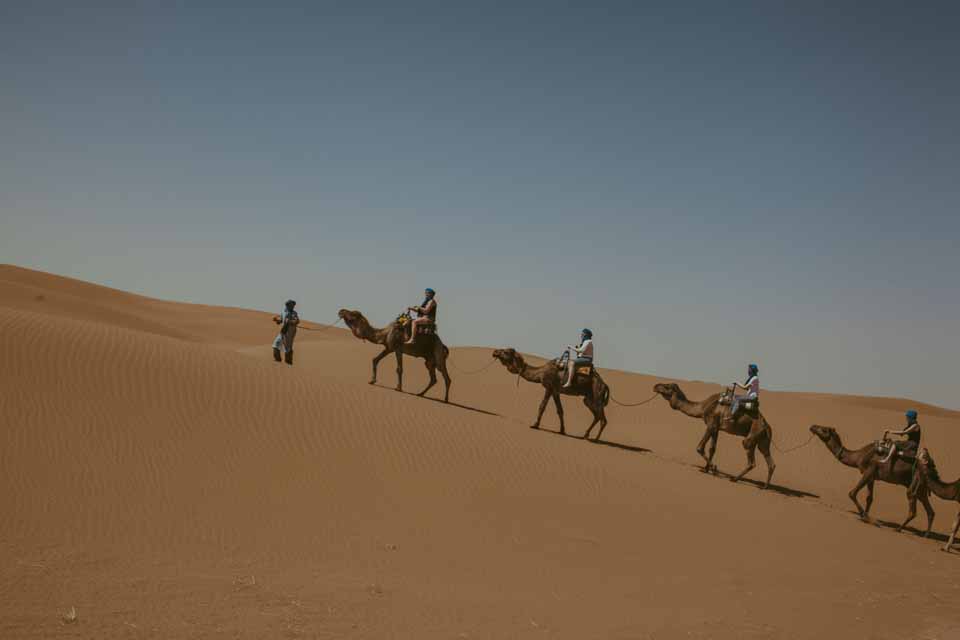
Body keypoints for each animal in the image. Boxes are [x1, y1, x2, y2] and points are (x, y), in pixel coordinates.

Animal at [648, 382, 776, 488]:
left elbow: (700, 447)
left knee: (751, 460)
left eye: (667, 386)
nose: (655, 386)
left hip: (752, 435)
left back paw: (734, 479)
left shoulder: (711, 424)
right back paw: (764, 486)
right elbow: (712, 448)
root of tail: (767, 426)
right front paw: (706, 469)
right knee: (770, 461)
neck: (703, 407)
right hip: (762, 440)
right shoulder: (716, 428)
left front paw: (714, 468)